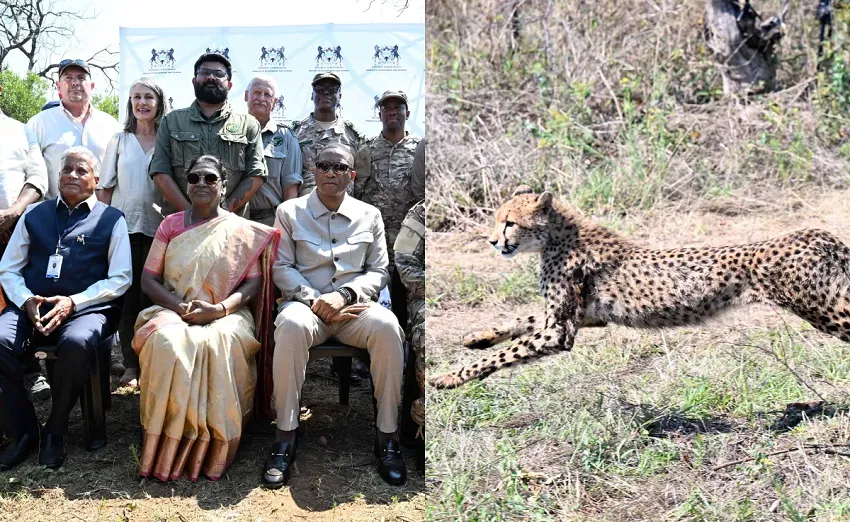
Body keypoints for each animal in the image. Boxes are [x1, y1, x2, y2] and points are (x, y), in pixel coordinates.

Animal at [430, 185, 850, 389]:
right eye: (498, 221)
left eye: (509, 223)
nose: (492, 242)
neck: (557, 236)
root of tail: (810, 233)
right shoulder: (584, 316)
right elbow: (521, 321)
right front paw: (478, 336)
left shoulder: (560, 331)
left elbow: (507, 352)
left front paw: (452, 376)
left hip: (825, 307)